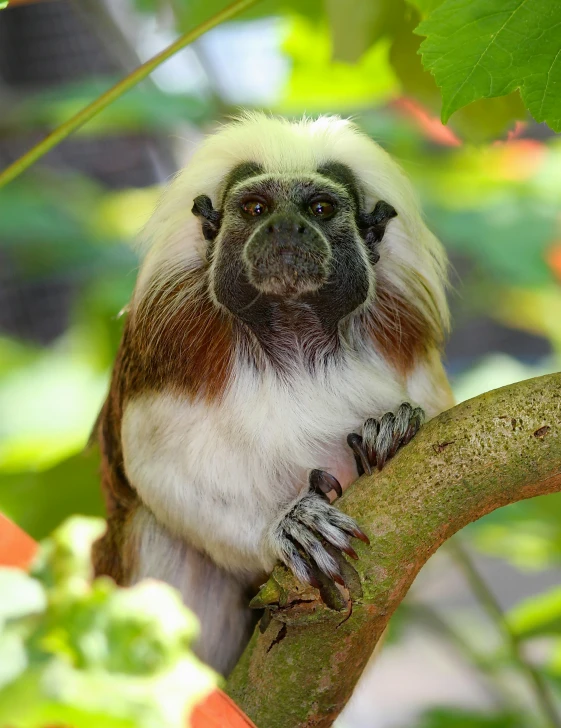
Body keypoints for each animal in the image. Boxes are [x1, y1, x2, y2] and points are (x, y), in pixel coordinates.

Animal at [91, 114, 450, 676]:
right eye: (256, 208)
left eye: (319, 208)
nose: (284, 227)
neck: (294, 332)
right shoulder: (171, 346)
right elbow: (158, 472)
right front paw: (288, 527)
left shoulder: (404, 337)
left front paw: (391, 430)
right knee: (154, 528)